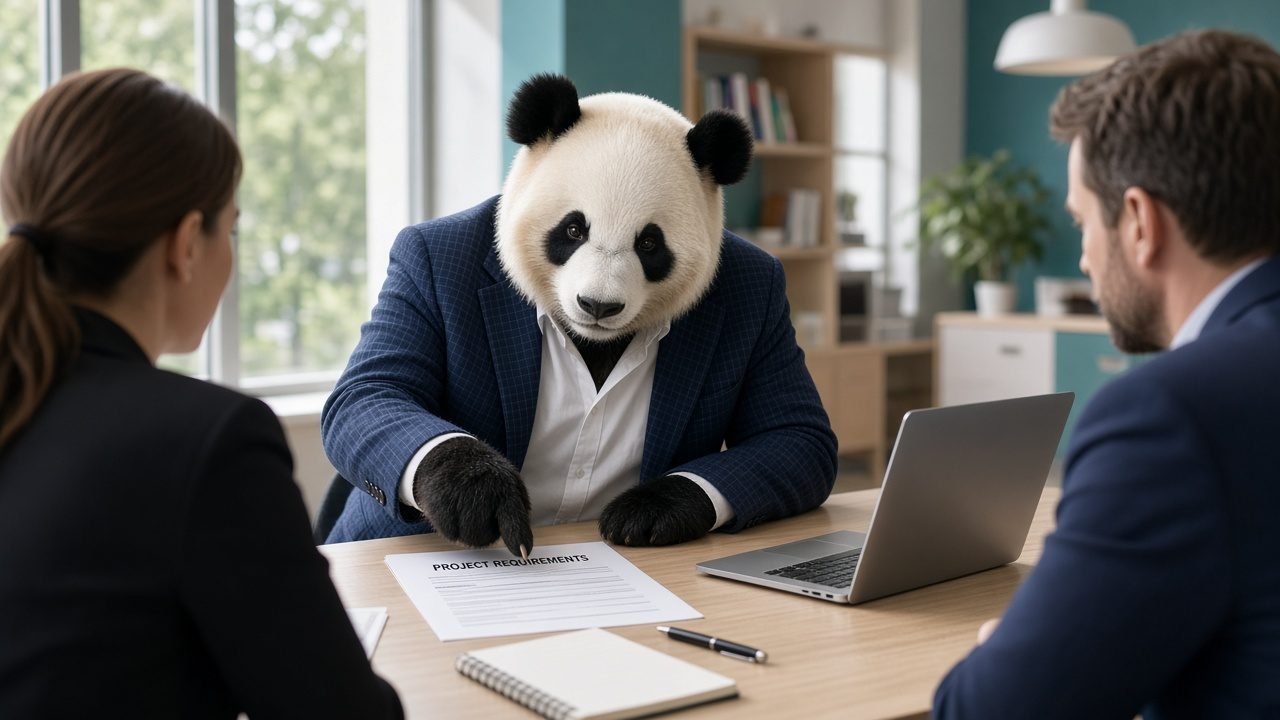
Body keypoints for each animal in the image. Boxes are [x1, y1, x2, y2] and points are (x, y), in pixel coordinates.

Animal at [321, 74, 838, 553]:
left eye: (649, 243)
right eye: (573, 229)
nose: (598, 305)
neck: (592, 340)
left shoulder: (763, 305)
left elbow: (794, 430)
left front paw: (648, 510)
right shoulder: (422, 277)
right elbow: (374, 388)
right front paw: (479, 495)